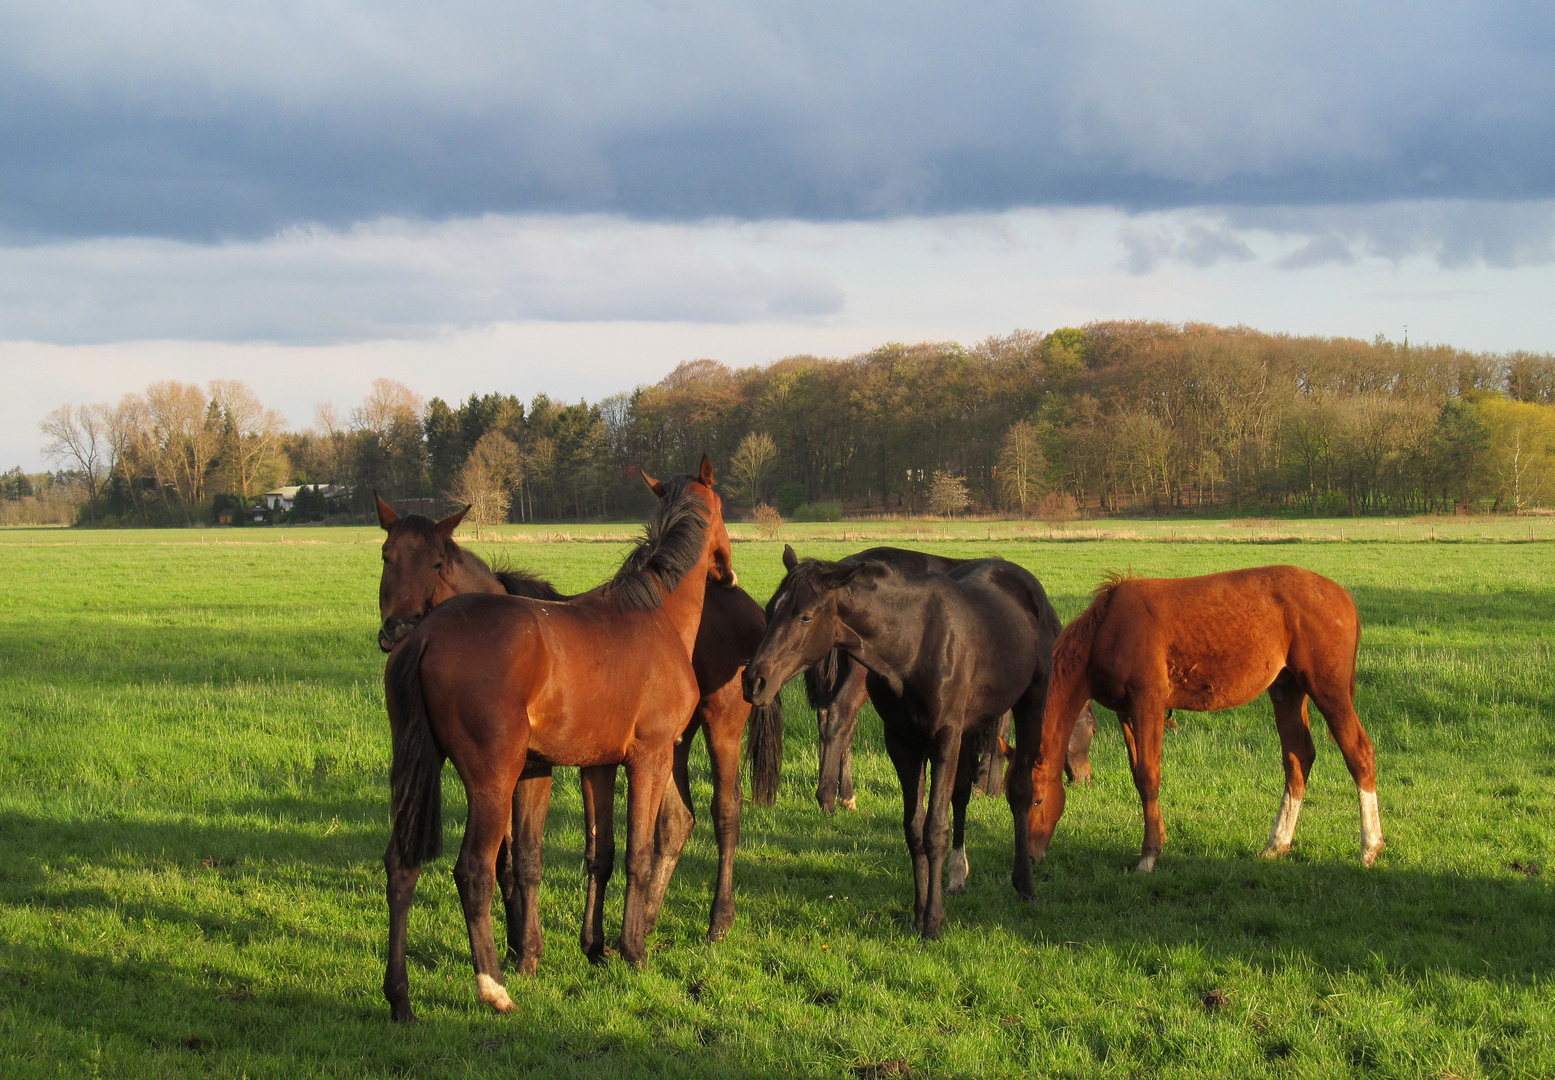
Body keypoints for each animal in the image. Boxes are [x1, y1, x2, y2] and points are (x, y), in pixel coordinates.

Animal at [382, 456, 733, 1019]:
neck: (656, 613)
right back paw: (494, 988)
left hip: (423, 773)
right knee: (474, 871)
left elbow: (598, 854)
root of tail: (426, 634)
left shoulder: (596, 765)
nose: (728, 569)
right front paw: (632, 951)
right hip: (492, 783)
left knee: (402, 866)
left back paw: (400, 999)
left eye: (432, 563)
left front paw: (594, 948)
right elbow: (637, 854)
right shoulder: (650, 758)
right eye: (724, 510)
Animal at [743, 543, 1063, 944]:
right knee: (962, 792)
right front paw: (918, 913)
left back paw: (1024, 884)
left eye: (804, 616)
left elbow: (935, 830)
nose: (753, 682)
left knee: (1019, 789)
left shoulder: (944, 738)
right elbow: (914, 829)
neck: (912, 643)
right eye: (771, 609)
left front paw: (933, 922)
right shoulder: (901, 743)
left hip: (1030, 700)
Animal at [1013, 565, 1393, 876]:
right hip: (1287, 689)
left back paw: (1369, 848)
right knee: (1298, 758)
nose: (1030, 857)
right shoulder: (1125, 712)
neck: (1109, 629)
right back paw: (1276, 844)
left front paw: (1149, 856)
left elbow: (1149, 777)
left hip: (1327, 689)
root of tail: (1341, 595)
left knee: (1359, 753)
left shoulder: (1148, 703)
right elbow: (1138, 775)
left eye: (1038, 800)